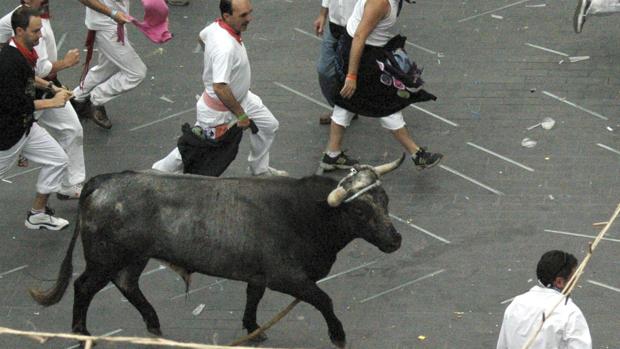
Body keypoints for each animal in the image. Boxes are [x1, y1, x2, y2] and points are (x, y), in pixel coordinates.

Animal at [29, 156, 406, 348]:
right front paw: (338, 335)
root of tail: (103, 180)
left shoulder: (259, 274)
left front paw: (253, 329)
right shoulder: (288, 277)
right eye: (360, 211)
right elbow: (323, 299)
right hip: (104, 257)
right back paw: (81, 333)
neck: (306, 212)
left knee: (127, 285)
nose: (395, 240)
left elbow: (253, 297)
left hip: (134, 257)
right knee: (84, 287)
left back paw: (153, 323)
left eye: (385, 200)